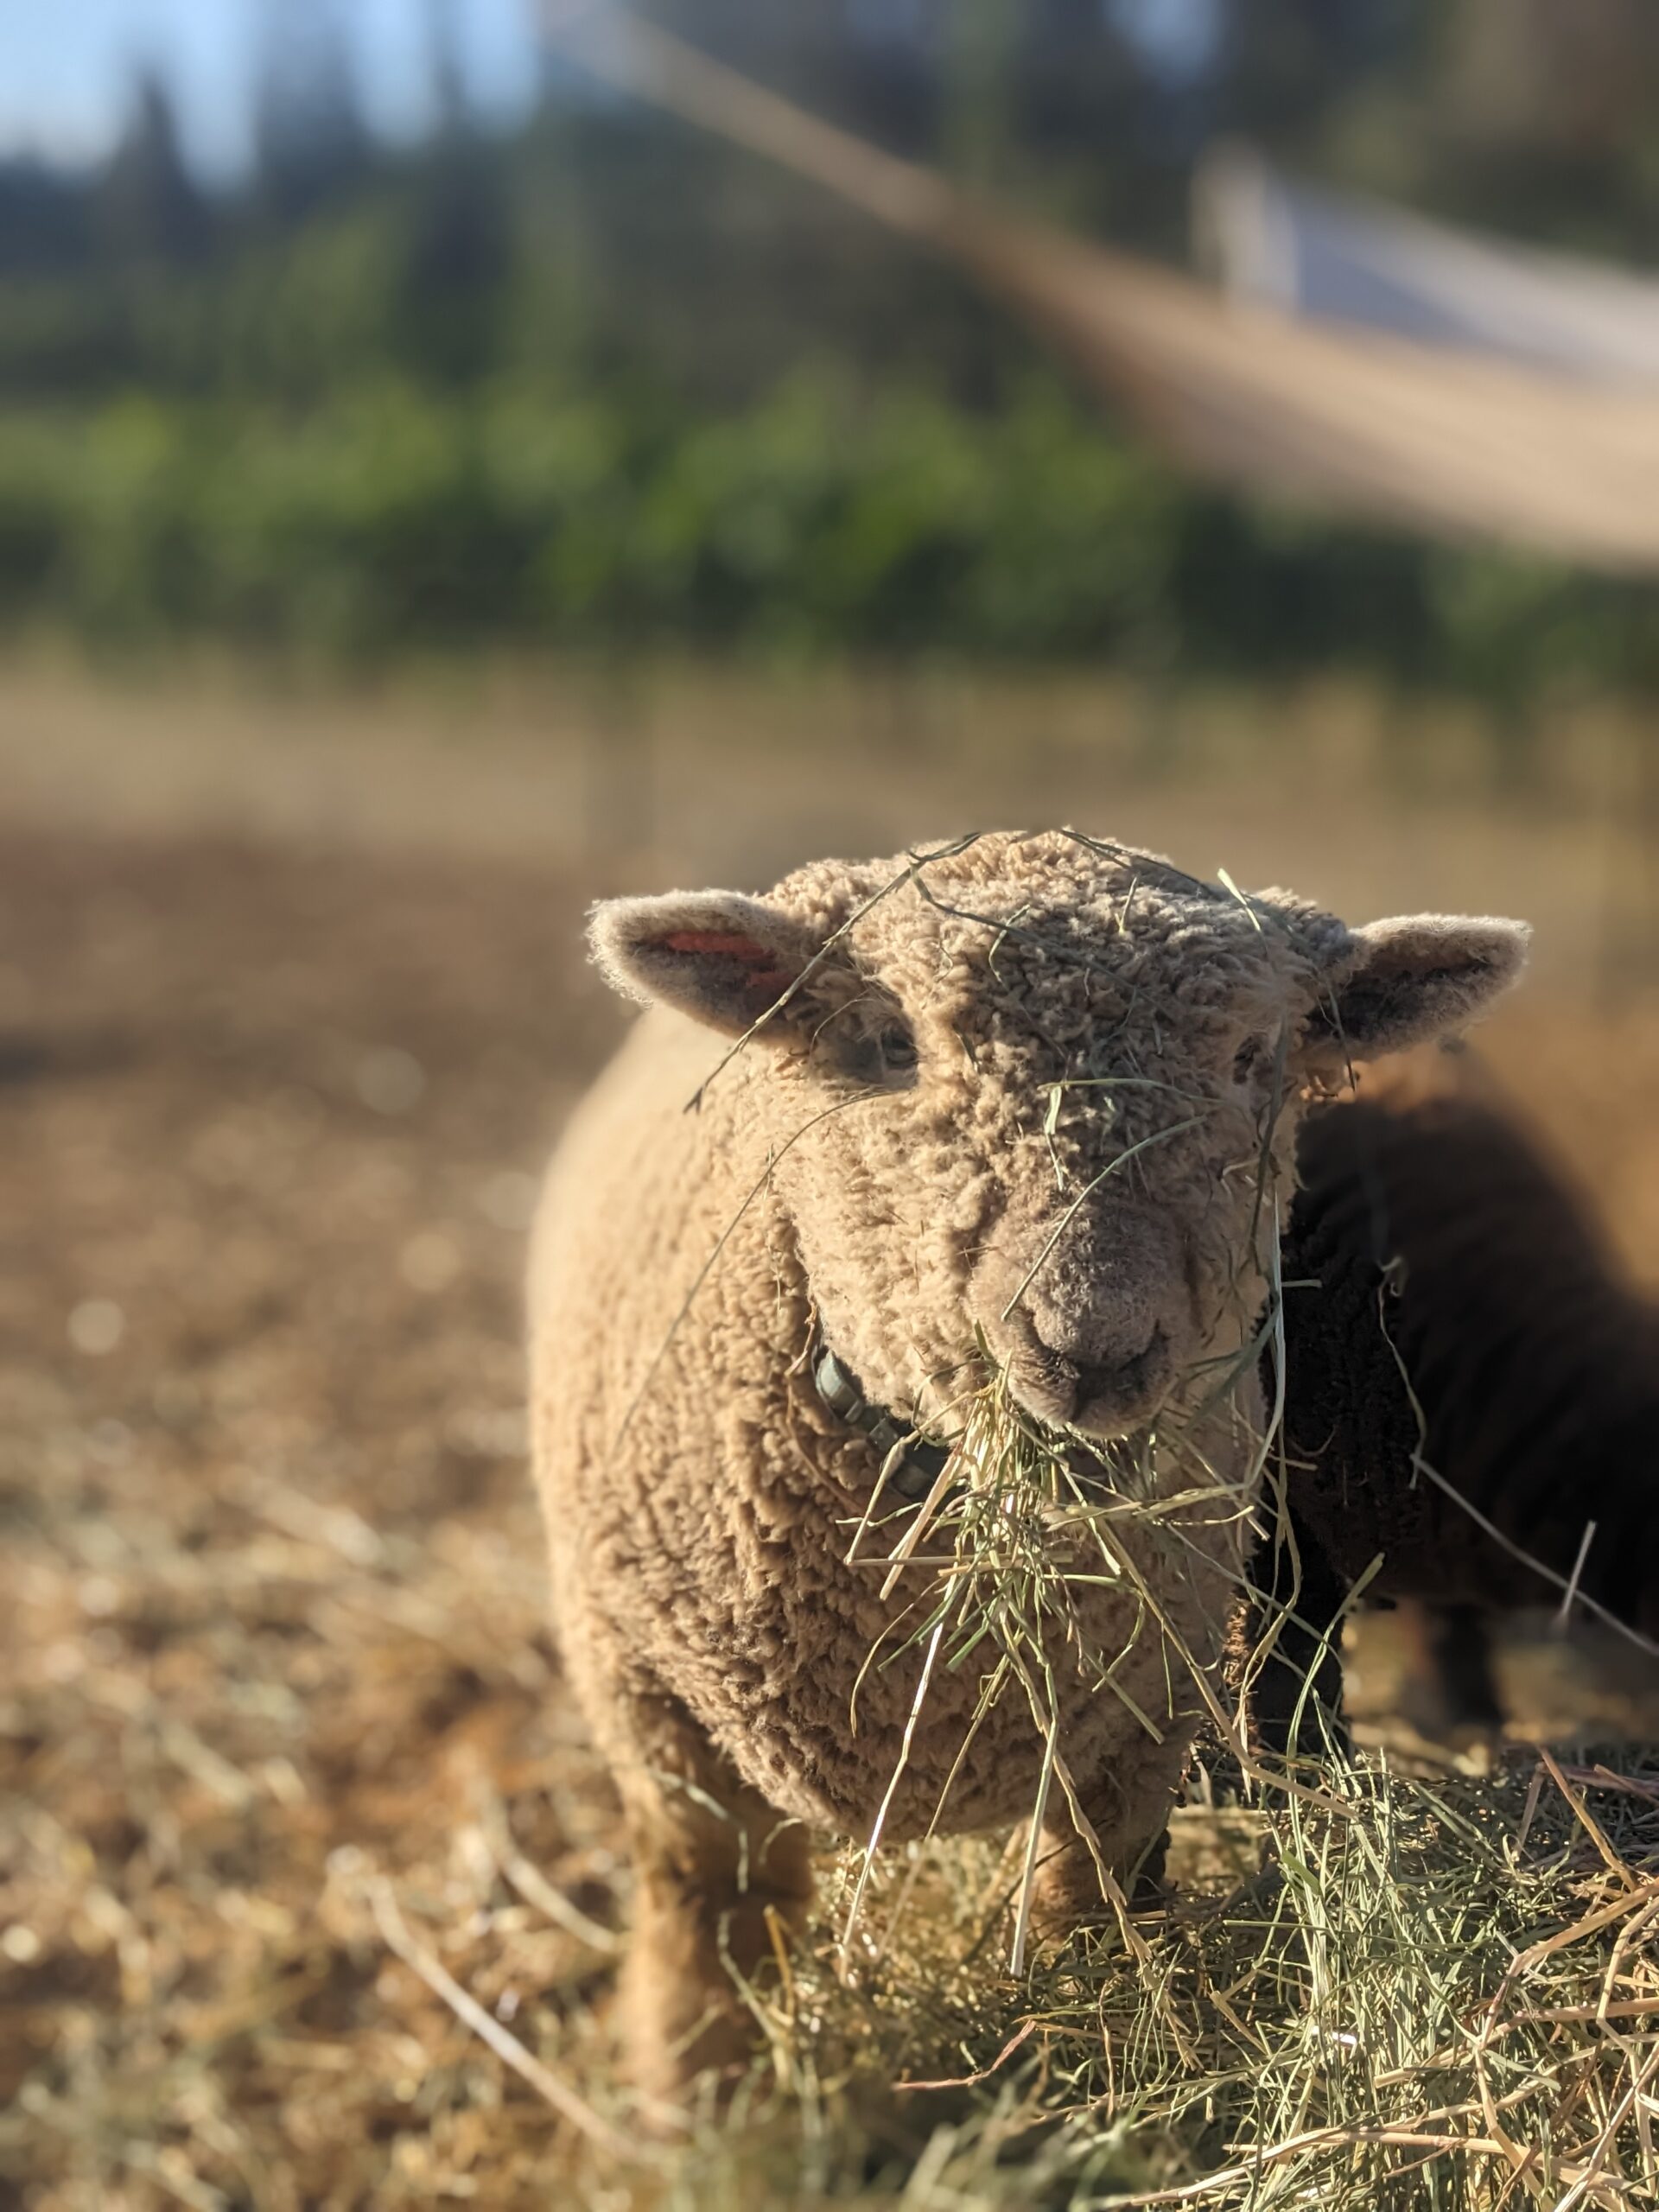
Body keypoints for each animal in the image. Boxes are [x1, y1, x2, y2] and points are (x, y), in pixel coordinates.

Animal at [527, 831, 1527, 2099]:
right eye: (890, 1042)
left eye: (1255, 1056)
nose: (1092, 1346)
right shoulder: (641, 1687)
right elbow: (704, 1906)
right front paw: (698, 2094)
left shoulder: (1144, 1711)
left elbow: (1086, 1900)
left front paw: (1079, 2045)